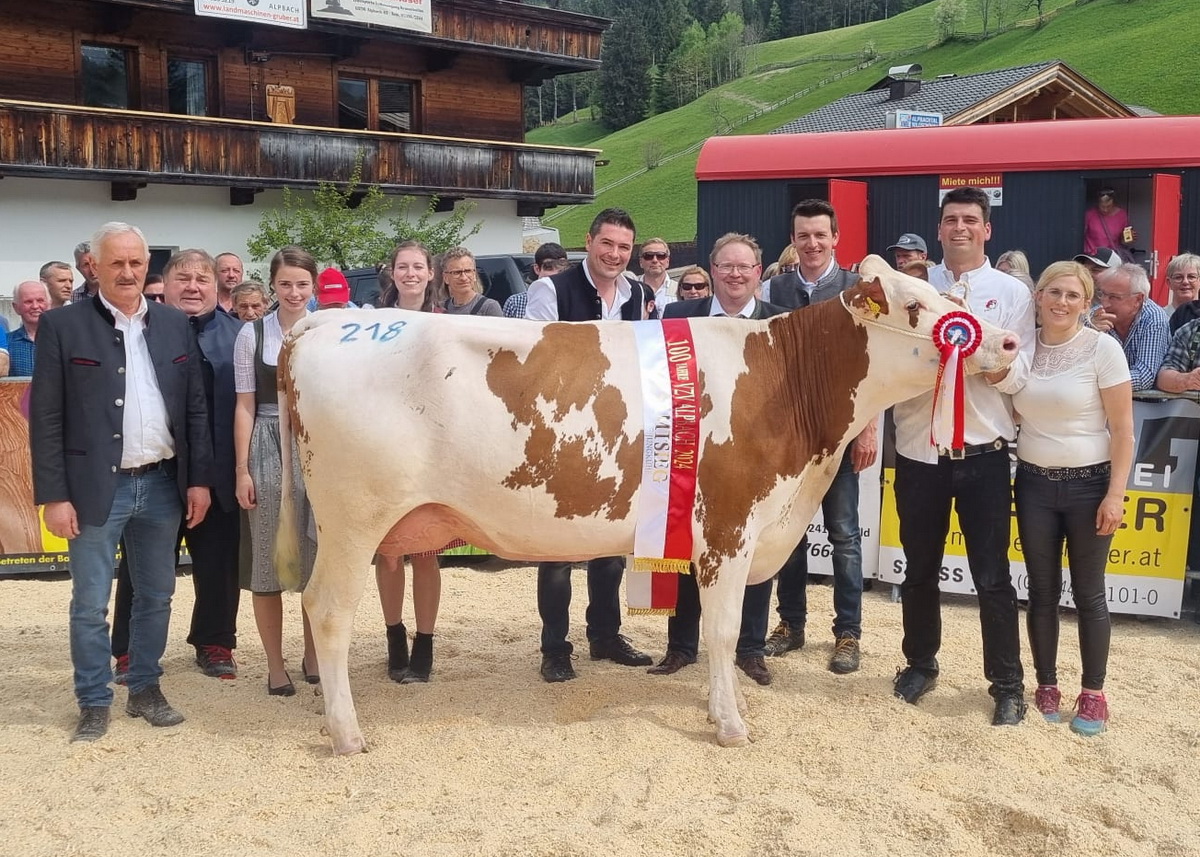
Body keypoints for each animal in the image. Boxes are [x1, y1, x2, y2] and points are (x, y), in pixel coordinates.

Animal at [276, 255, 1017, 753]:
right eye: (916, 308)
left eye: (944, 298)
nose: (1008, 341)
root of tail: (318, 323)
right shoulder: (729, 523)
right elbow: (722, 630)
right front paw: (730, 723)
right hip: (354, 518)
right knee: (328, 609)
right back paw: (347, 733)